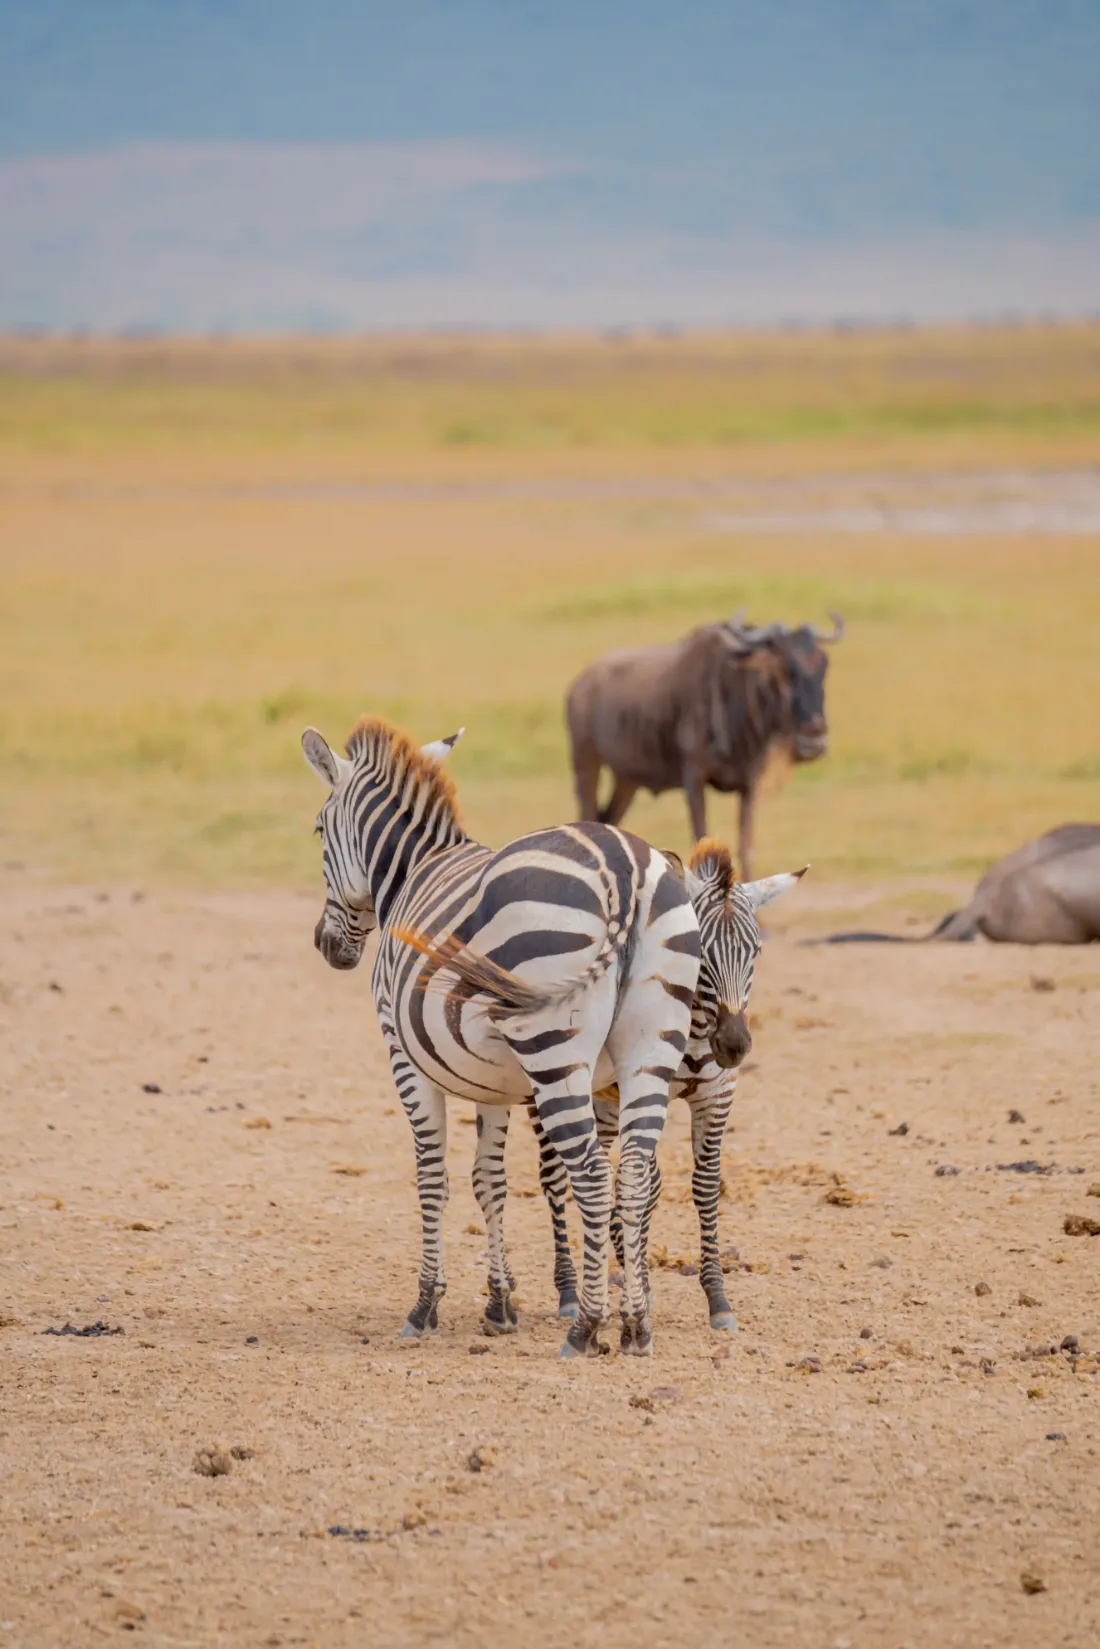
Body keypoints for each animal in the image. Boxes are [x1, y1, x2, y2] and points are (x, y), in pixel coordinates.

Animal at [302, 715, 701, 1358]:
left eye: (317, 830)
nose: (326, 945)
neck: (415, 871)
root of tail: (625, 868)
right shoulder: (491, 1082)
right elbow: (489, 1182)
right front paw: (499, 1302)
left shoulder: (403, 1056)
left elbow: (433, 1177)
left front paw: (425, 1305)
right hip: (651, 1045)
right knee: (635, 1172)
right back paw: (636, 1325)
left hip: (553, 1041)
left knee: (592, 1174)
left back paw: (586, 1327)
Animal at [522, 840, 807, 1333]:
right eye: (700, 955)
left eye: (756, 952)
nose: (735, 1045)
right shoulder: (643, 1092)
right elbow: (647, 1185)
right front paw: (641, 1290)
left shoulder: (717, 1096)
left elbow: (703, 1185)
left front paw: (717, 1299)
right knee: (556, 1176)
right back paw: (568, 1293)